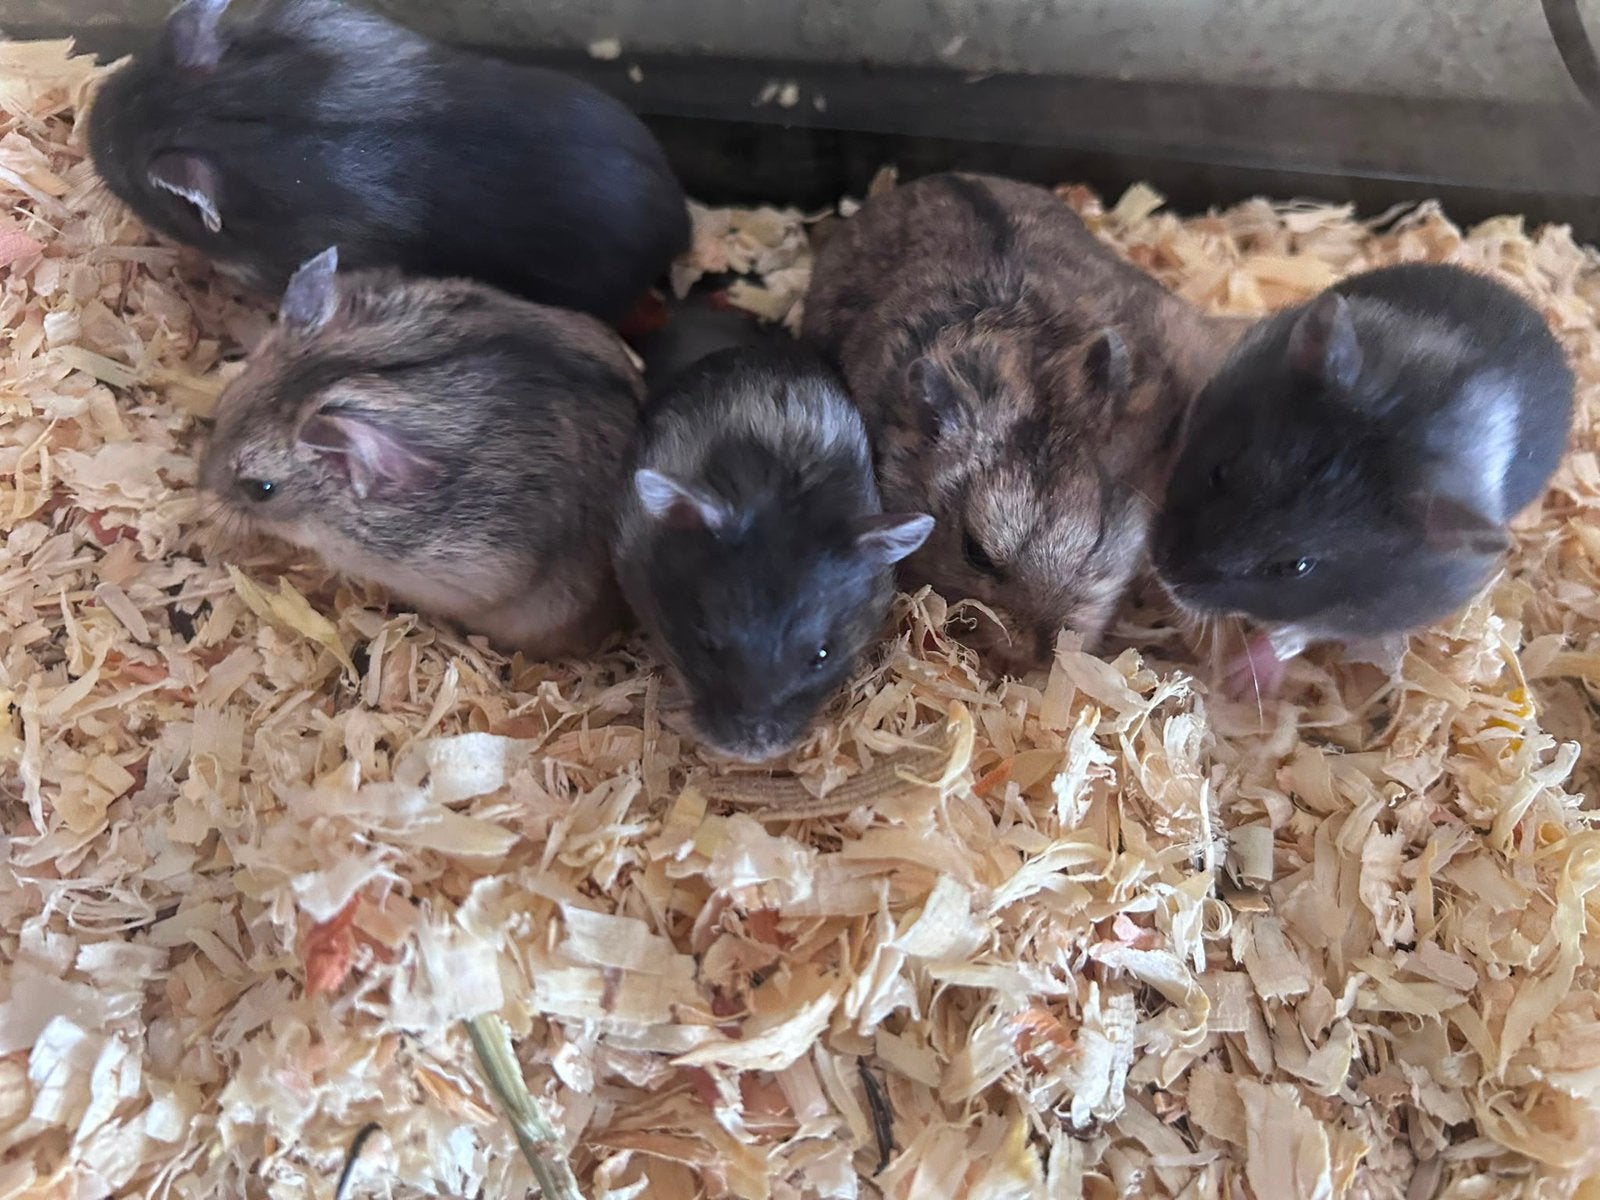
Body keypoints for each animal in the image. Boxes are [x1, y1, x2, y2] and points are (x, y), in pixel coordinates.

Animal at [1152, 262, 1575, 694]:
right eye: (1220, 472)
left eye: (1296, 567)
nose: (1165, 574)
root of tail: (1533, 311)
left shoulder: (1384, 609)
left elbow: (1298, 632)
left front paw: (1237, 683)